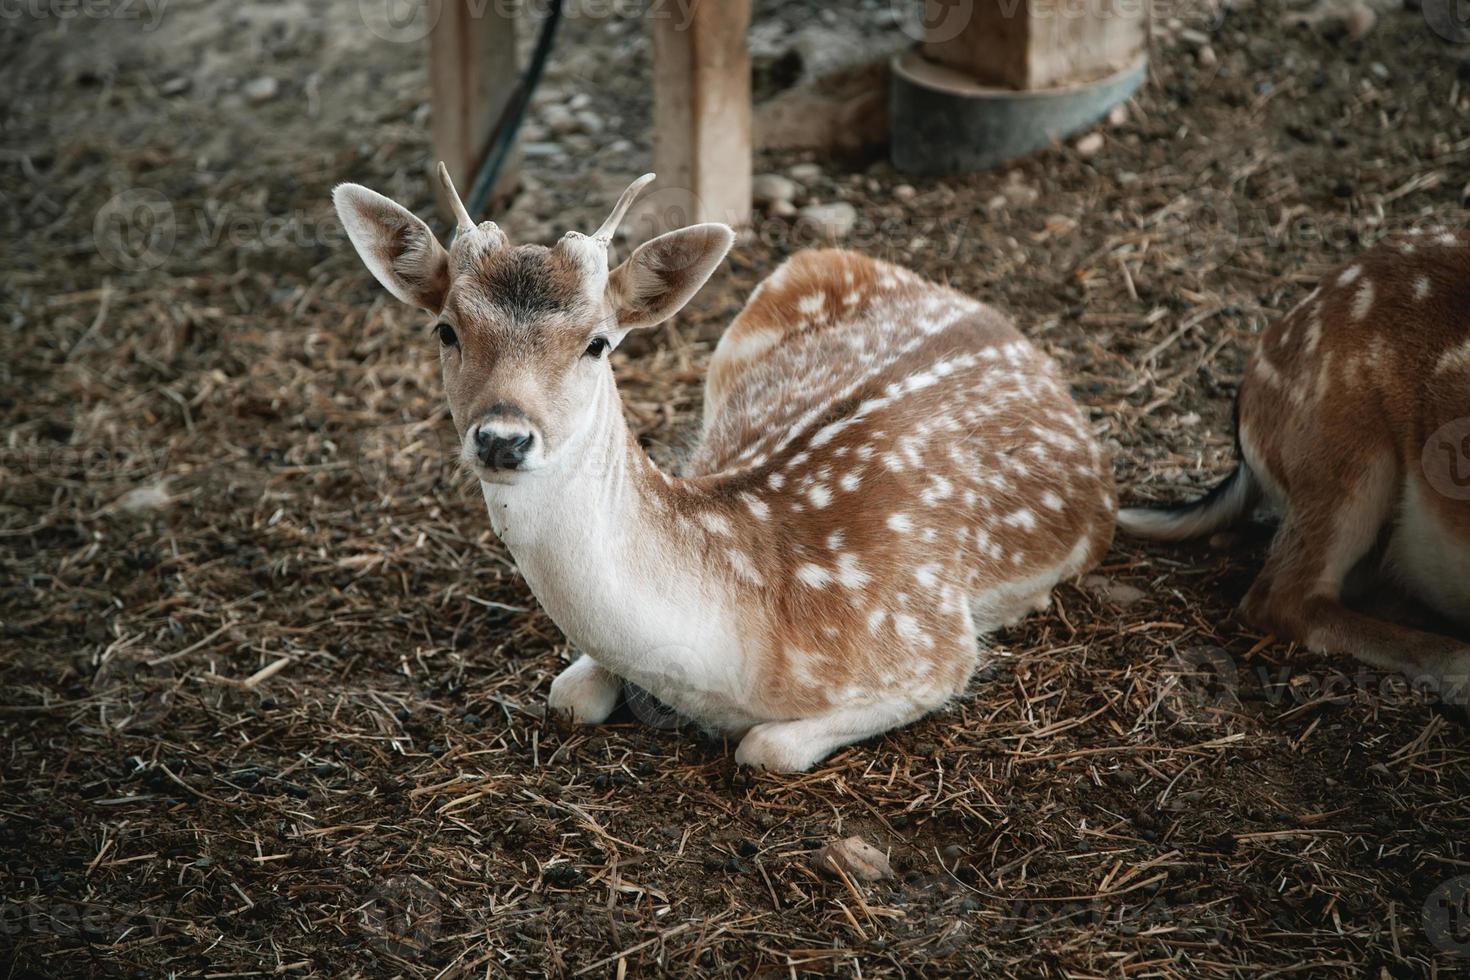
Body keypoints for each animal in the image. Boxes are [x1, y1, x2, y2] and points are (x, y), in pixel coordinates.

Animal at [333, 164, 1111, 769]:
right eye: (446, 329)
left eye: (597, 342)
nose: (502, 439)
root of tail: (995, 318)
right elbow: (568, 695)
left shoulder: (931, 646)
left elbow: (766, 747)